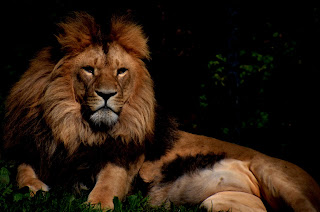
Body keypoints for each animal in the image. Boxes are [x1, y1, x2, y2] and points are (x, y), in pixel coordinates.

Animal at [2, 12, 320, 211]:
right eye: (89, 70)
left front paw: (93, 203)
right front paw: (35, 189)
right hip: (216, 204)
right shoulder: (34, 149)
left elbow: (103, 193)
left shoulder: (123, 162)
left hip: (275, 175)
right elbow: (22, 173)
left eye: (121, 72)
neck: (76, 129)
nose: (107, 95)